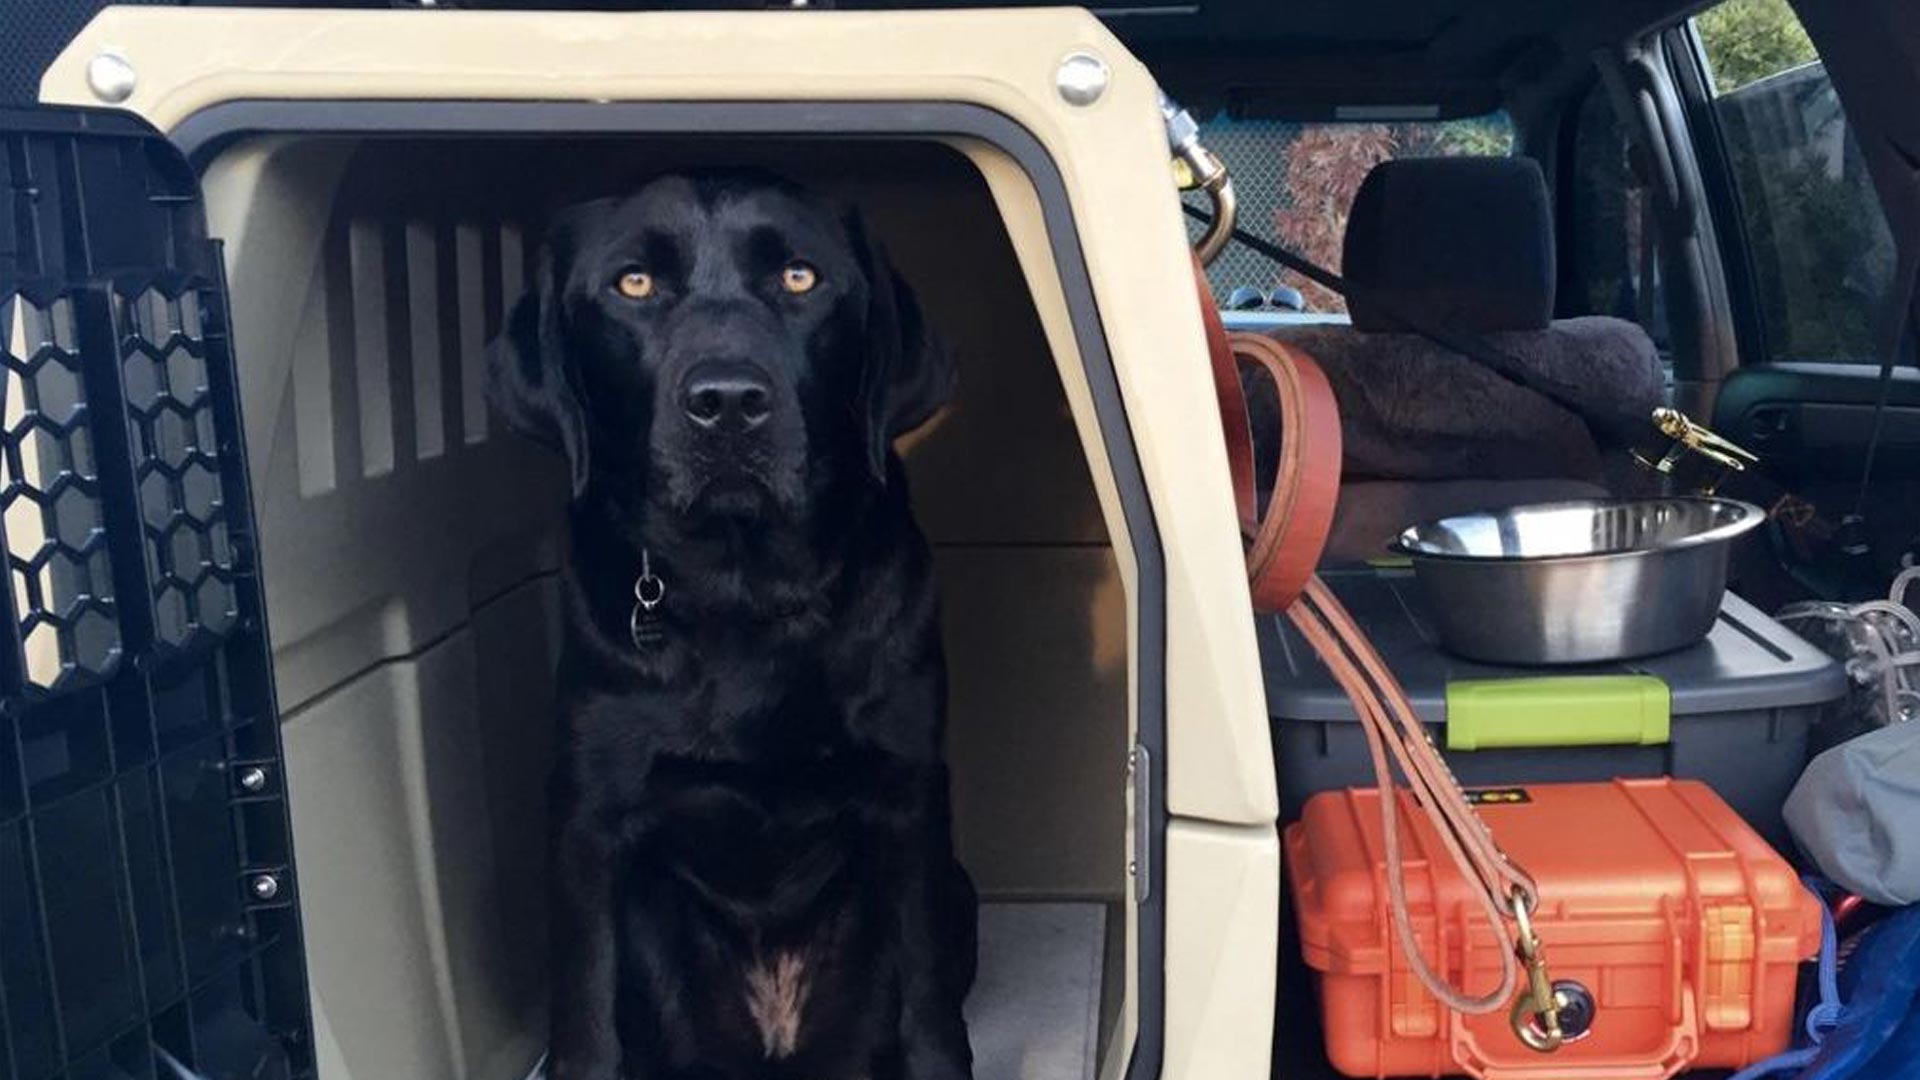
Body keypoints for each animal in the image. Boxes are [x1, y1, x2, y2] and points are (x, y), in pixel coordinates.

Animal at [495, 171, 975, 1068]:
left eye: (799, 277)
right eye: (633, 283)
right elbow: (584, 1020)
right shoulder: (585, 818)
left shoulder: (911, 793)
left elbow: (931, 1015)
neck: (741, 589)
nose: (726, 404)